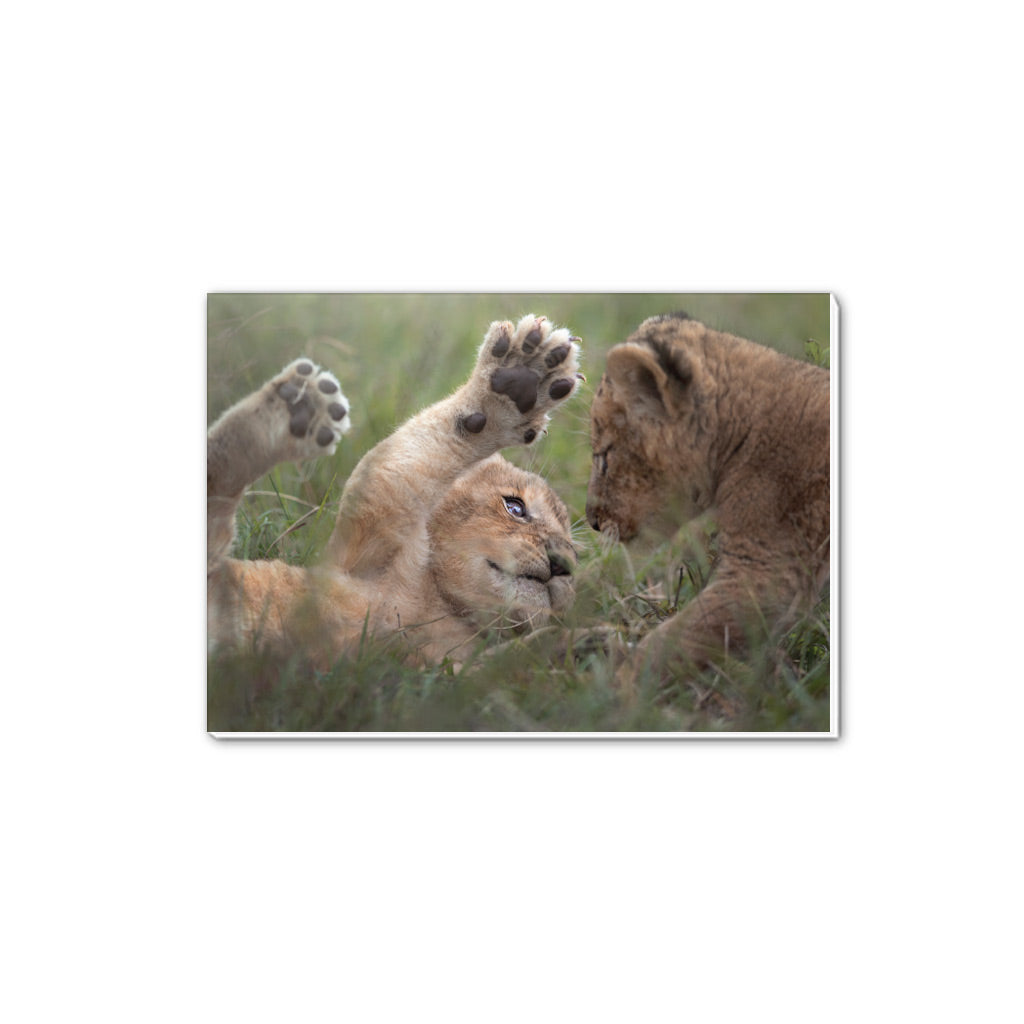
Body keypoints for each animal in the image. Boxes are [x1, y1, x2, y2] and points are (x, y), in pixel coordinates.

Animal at [208, 315, 583, 667]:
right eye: (515, 507)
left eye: (576, 555)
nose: (563, 564)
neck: (443, 603)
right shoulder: (368, 533)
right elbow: (418, 450)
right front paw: (520, 380)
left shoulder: (450, 670)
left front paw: (578, 643)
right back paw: (299, 405)